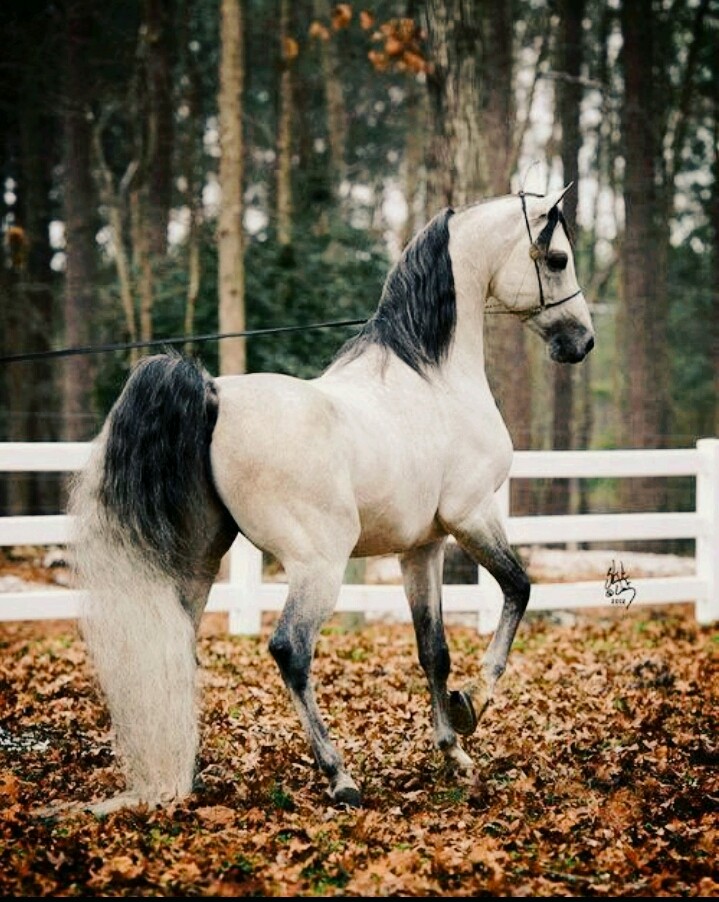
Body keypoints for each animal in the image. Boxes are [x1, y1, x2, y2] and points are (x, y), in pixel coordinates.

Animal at [65, 185, 594, 816]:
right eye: (558, 258)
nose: (581, 341)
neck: (433, 379)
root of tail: (213, 394)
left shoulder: (423, 547)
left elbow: (433, 650)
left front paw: (452, 753)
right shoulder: (472, 515)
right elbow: (519, 589)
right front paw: (472, 706)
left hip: (199, 563)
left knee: (176, 646)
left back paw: (184, 773)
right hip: (319, 564)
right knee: (290, 649)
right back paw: (339, 776)